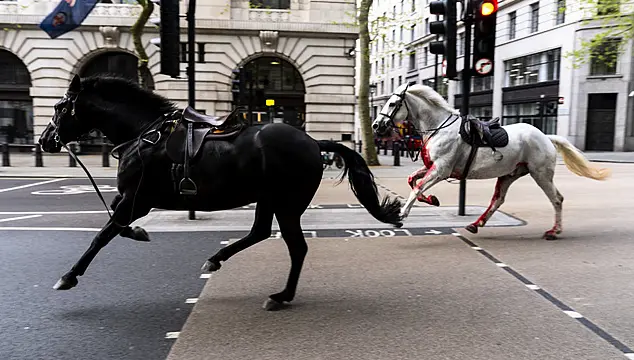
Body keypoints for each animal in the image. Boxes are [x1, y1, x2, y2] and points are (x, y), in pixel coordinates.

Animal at [38, 73, 400, 310]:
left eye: (59, 107)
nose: (44, 141)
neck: (144, 134)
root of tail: (313, 142)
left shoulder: (137, 199)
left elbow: (103, 234)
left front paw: (69, 276)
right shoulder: (130, 199)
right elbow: (115, 222)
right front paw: (140, 233)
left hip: (287, 203)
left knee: (296, 247)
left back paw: (281, 296)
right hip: (268, 199)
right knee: (259, 232)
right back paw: (217, 259)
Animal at [370, 81, 608, 239]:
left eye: (392, 103)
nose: (375, 125)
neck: (439, 127)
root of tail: (545, 137)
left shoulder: (441, 169)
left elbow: (417, 187)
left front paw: (401, 214)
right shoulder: (433, 167)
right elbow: (412, 180)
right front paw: (431, 199)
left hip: (540, 174)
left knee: (557, 199)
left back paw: (554, 231)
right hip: (510, 174)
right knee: (497, 200)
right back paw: (477, 224)